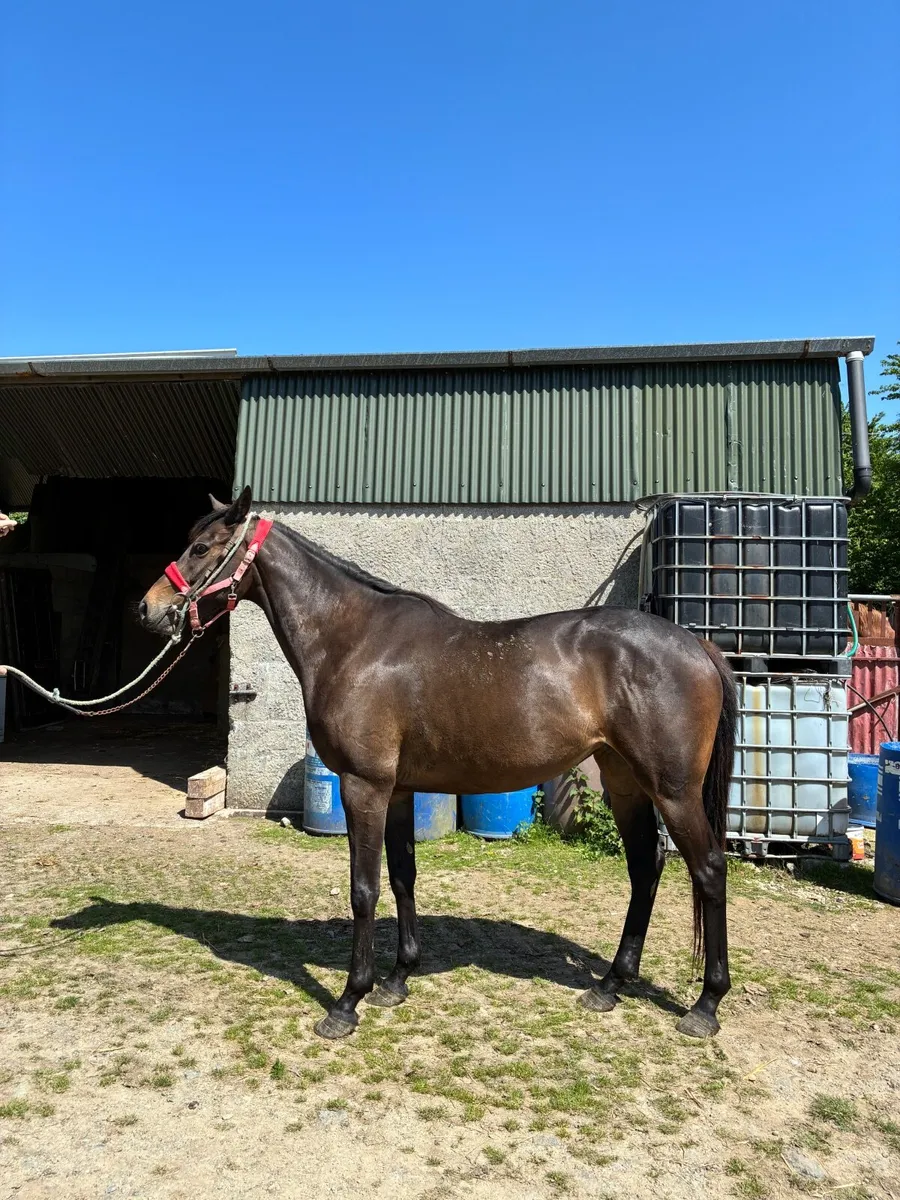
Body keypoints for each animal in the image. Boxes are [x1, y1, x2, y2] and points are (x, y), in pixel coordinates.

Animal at [140, 487, 738, 1041]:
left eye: (201, 547)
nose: (147, 608)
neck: (354, 642)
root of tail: (696, 646)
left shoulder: (364, 787)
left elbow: (364, 889)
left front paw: (348, 1002)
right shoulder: (400, 791)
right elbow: (403, 877)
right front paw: (397, 980)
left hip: (673, 790)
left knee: (708, 869)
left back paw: (705, 1006)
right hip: (625, 782)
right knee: (645, 867)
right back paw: (610, 986)